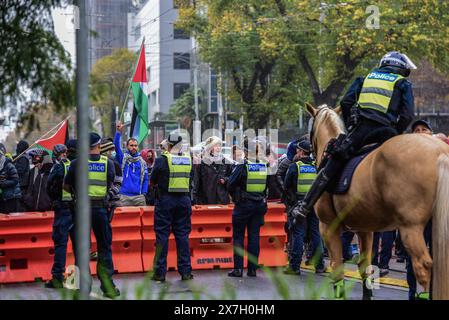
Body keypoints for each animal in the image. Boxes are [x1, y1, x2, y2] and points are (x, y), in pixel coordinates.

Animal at [306, 103, 448, 300]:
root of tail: (439, 152)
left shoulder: (328, 227)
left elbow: (337, 269)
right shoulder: (365, 229)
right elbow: (365, 266)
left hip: (410, 228)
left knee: (423, 266)